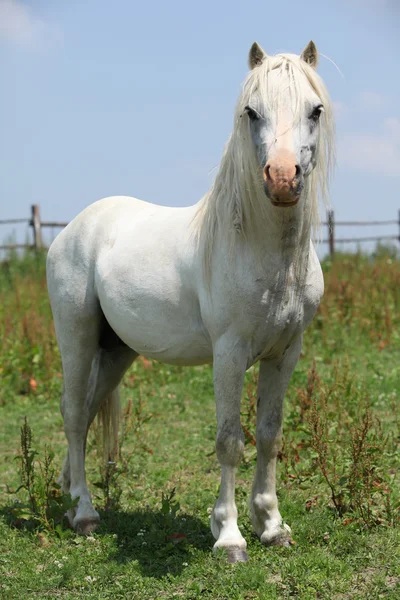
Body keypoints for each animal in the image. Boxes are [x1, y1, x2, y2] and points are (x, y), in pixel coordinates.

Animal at [47, 42, 334, 564]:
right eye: (251, 111)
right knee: (75, 414)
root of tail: (74, 228)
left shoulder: (286, 353)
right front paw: (230, 536)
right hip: (75, 339)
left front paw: (272, 525)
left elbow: (269, 434)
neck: (264, 254)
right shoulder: (229, 353)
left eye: (315, 110)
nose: (283, 179)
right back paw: (85, 514)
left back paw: (69, 493)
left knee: (91, 408)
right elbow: (229, 441)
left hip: (116, 350)